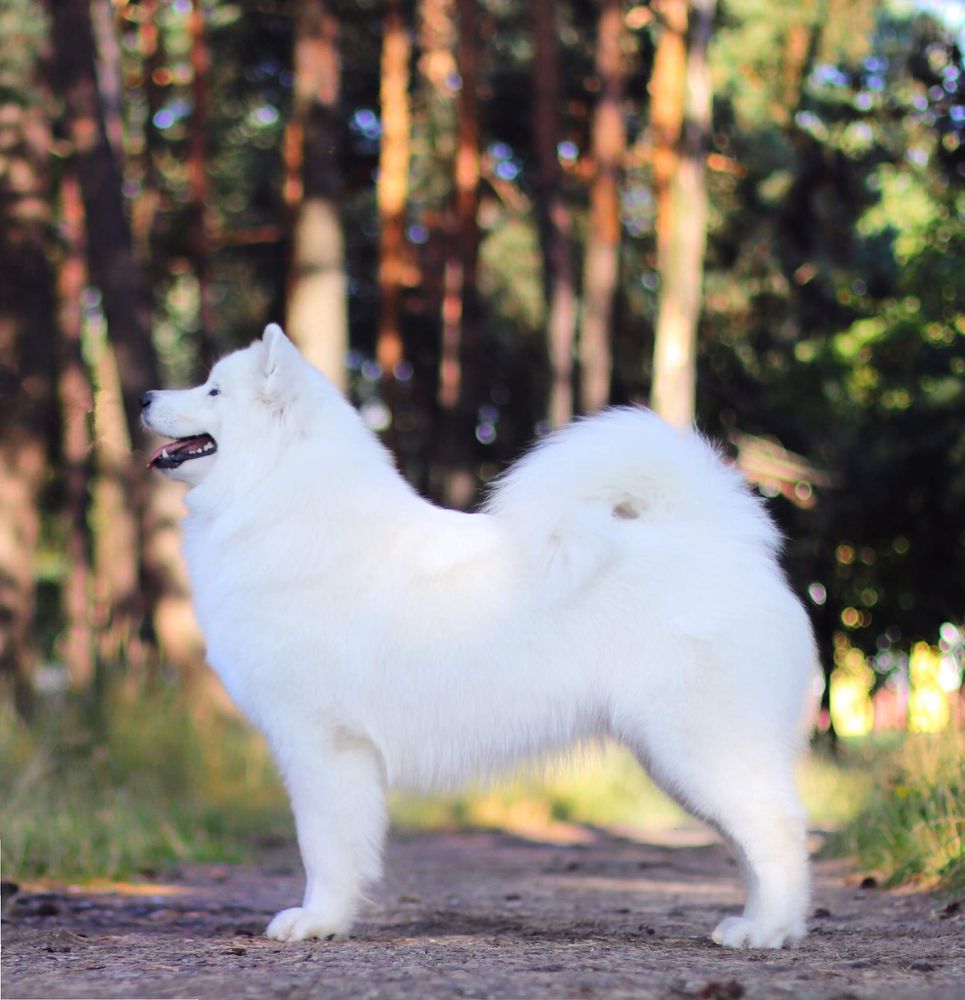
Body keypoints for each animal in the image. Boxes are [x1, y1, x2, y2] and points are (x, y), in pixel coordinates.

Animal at [141, 326, 812, 944]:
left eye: (213, 390)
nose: (145, 395)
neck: (276, 500)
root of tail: (724, 539)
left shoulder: (321, 741)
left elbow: (324, 848)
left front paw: (317, 921)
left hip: (701, 743)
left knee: (778, 827)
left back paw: (768, 931)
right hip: (677, 754)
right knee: (752, 841)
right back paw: (756, 923)